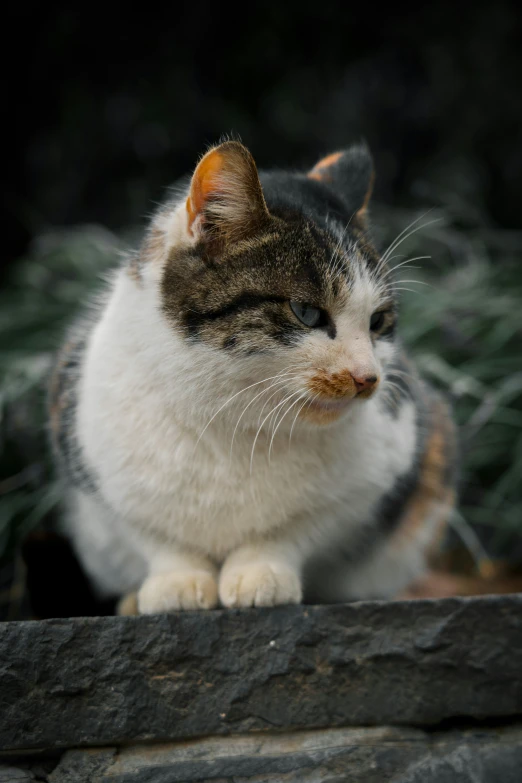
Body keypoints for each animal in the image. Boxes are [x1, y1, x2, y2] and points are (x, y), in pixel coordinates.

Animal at [48, 141, 456, 616]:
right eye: (307, 312)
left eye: (378, 322)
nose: (368, 377)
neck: (232, 419)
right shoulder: (94, 467)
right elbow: (156, 536)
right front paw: (176, 583)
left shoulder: (377, 472)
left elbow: (296, 527)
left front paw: (261, 574)